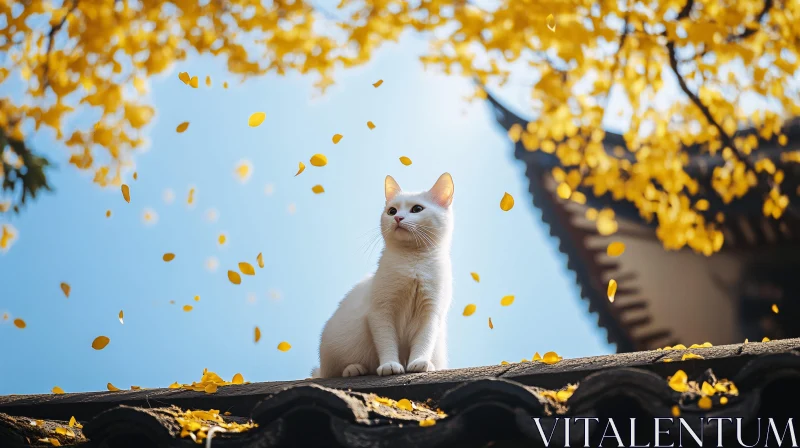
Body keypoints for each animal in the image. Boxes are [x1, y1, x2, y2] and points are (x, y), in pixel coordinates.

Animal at [318, 173, 456, 376]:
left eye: (417, 209)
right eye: (392, 210)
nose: (398, 217)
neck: (413, 261)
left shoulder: (431, 312)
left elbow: (424, 340)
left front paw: (419, 362)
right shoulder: (380, 312)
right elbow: (386, 343)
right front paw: (389, 365)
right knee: (331, 372)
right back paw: (354, 368)